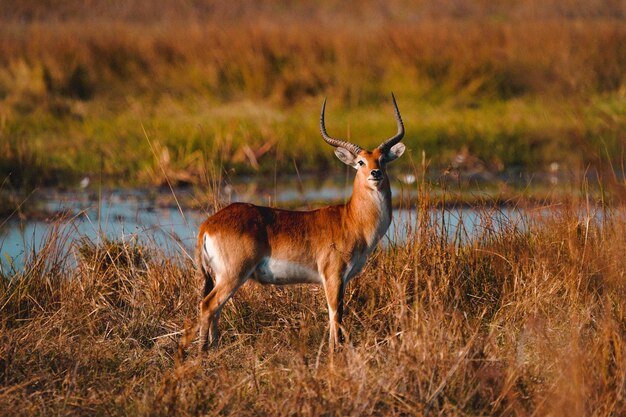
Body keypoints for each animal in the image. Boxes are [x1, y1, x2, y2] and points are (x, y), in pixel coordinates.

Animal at [195, 94, 408, 352]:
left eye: (382, 159)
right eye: (360, 162)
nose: (375, 173)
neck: (351, 220)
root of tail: (208, 225)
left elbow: (334, 316)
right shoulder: (333, 275)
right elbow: (336, 314)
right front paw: (335, 351)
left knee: (215, 309)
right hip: (233, 274)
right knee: (208, 306)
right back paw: (202, 352)